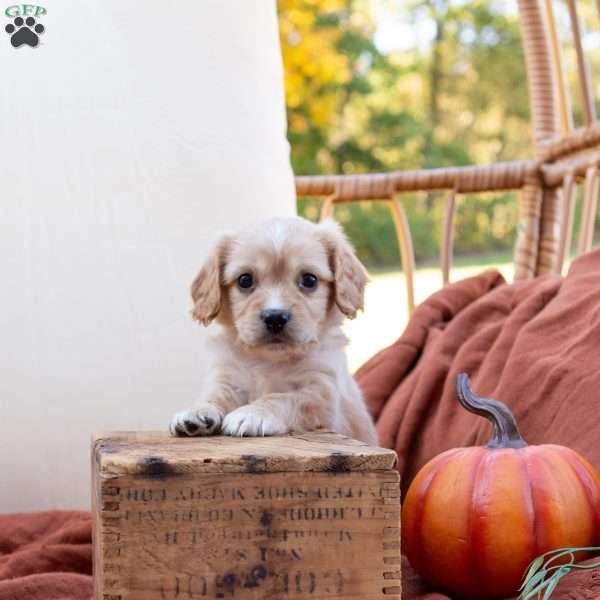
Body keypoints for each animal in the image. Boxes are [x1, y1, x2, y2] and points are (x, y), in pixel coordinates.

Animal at [169, 216, 378, 446]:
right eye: (245, 280)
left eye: (309, 280)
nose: (275, 317)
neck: (269, 360)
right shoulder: (228, 377)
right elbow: (215, 394)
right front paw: (197, 411)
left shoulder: (321, 393)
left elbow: (283, 397)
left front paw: (253, 413)